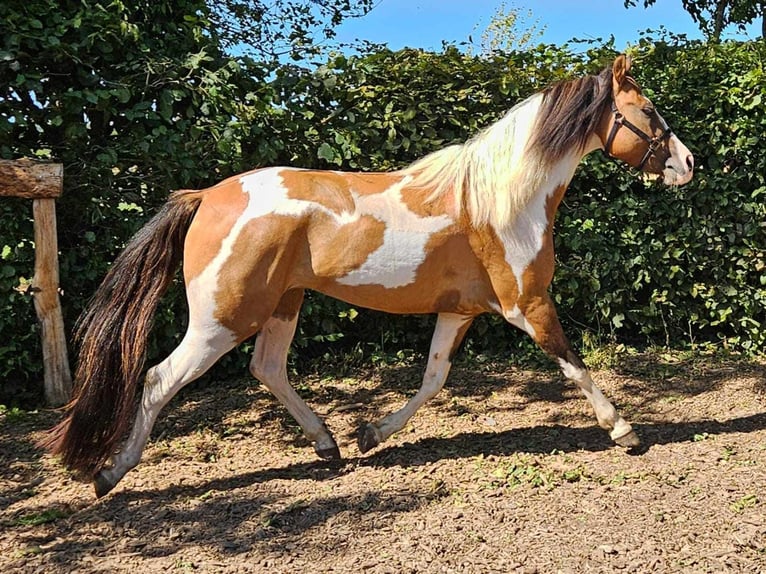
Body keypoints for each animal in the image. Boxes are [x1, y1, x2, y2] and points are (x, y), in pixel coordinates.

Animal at [45, 56, 700, 502]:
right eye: (649, 112)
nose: (688, 164)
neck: (501, 201)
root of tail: (207, 194)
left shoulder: (460, 310)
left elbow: (433, 379)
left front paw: (371, 433)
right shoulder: (527, 304)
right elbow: (572, 362)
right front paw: (624, 430)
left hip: (283, 303)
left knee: (267, 369)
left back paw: (329, 444)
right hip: (221, 319)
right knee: (160, 379)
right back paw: (108, 474)